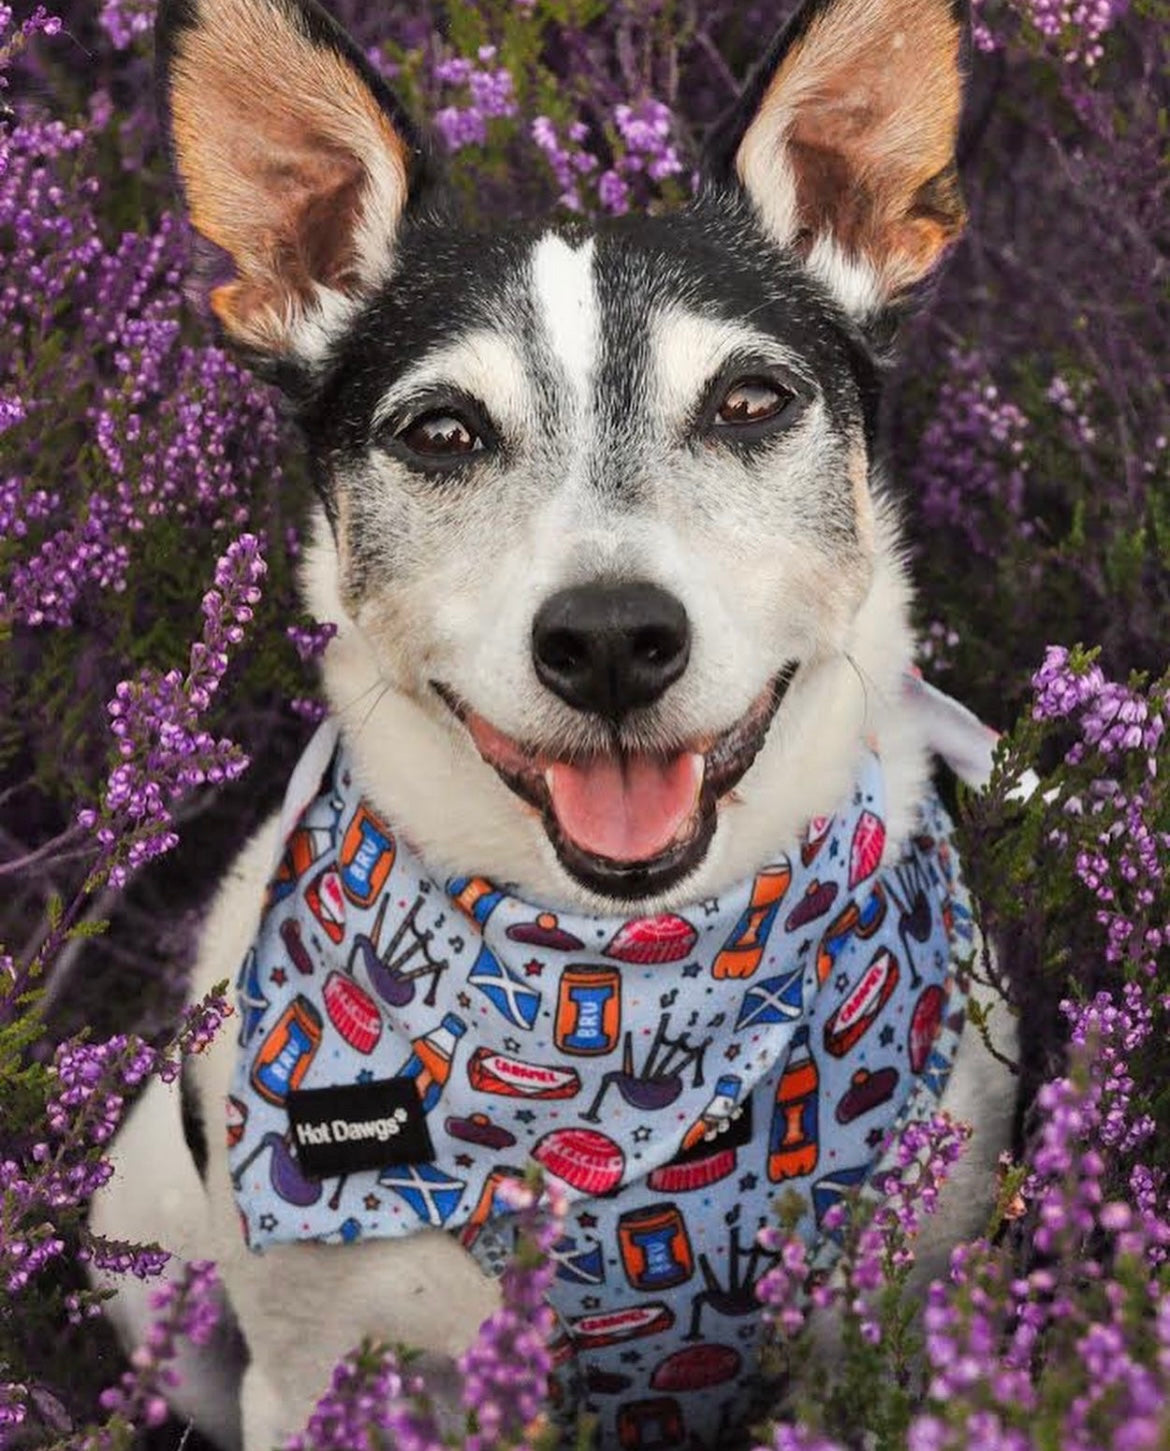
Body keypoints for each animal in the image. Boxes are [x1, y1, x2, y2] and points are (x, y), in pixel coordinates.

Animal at [93, 0, 1027, 1445]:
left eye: (751, 400)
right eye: (441, 430)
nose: (609, 639)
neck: (622, 951)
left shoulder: (893, 1307)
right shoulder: (315, 1369)